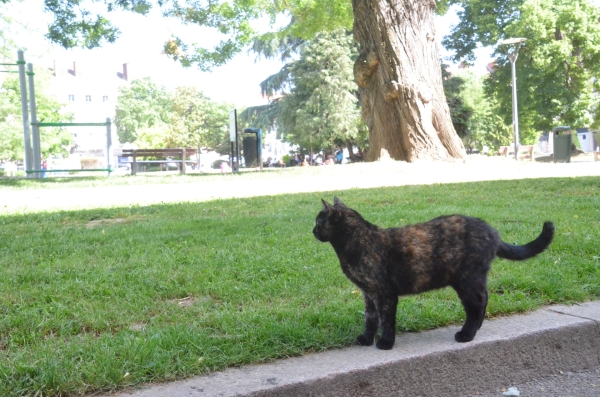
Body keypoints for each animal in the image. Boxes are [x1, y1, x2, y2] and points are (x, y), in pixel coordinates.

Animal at [314, 196, 552, 348]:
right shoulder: (368, 294)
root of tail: (492, 231)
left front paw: (386, 343)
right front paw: (366, 339)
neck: (356, 241)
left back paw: (467, 334)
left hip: (467, 281)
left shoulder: (385, 294)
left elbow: (387, 321)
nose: (313, 230)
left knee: (477, 303)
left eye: (318, 220)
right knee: (485, 299)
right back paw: (476, 329)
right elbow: (370, 319)